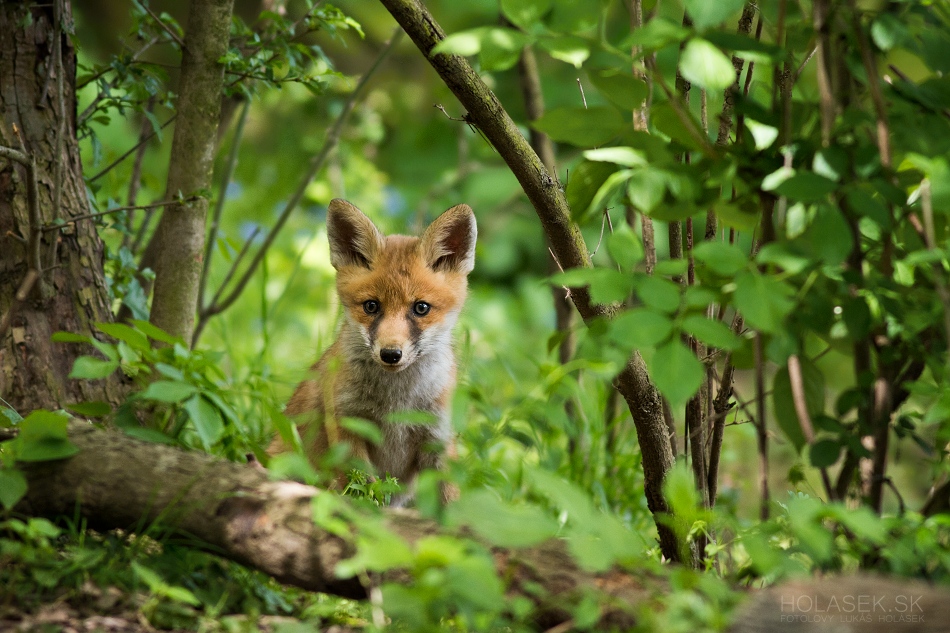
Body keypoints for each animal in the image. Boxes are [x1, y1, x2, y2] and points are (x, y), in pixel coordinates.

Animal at [280, 198, 476, 504]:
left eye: (421, 308)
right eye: (371, 306)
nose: (391, 354)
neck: (396, 403)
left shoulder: (437, 437)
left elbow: (451, 500)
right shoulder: (347, 425)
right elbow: (364, 494)